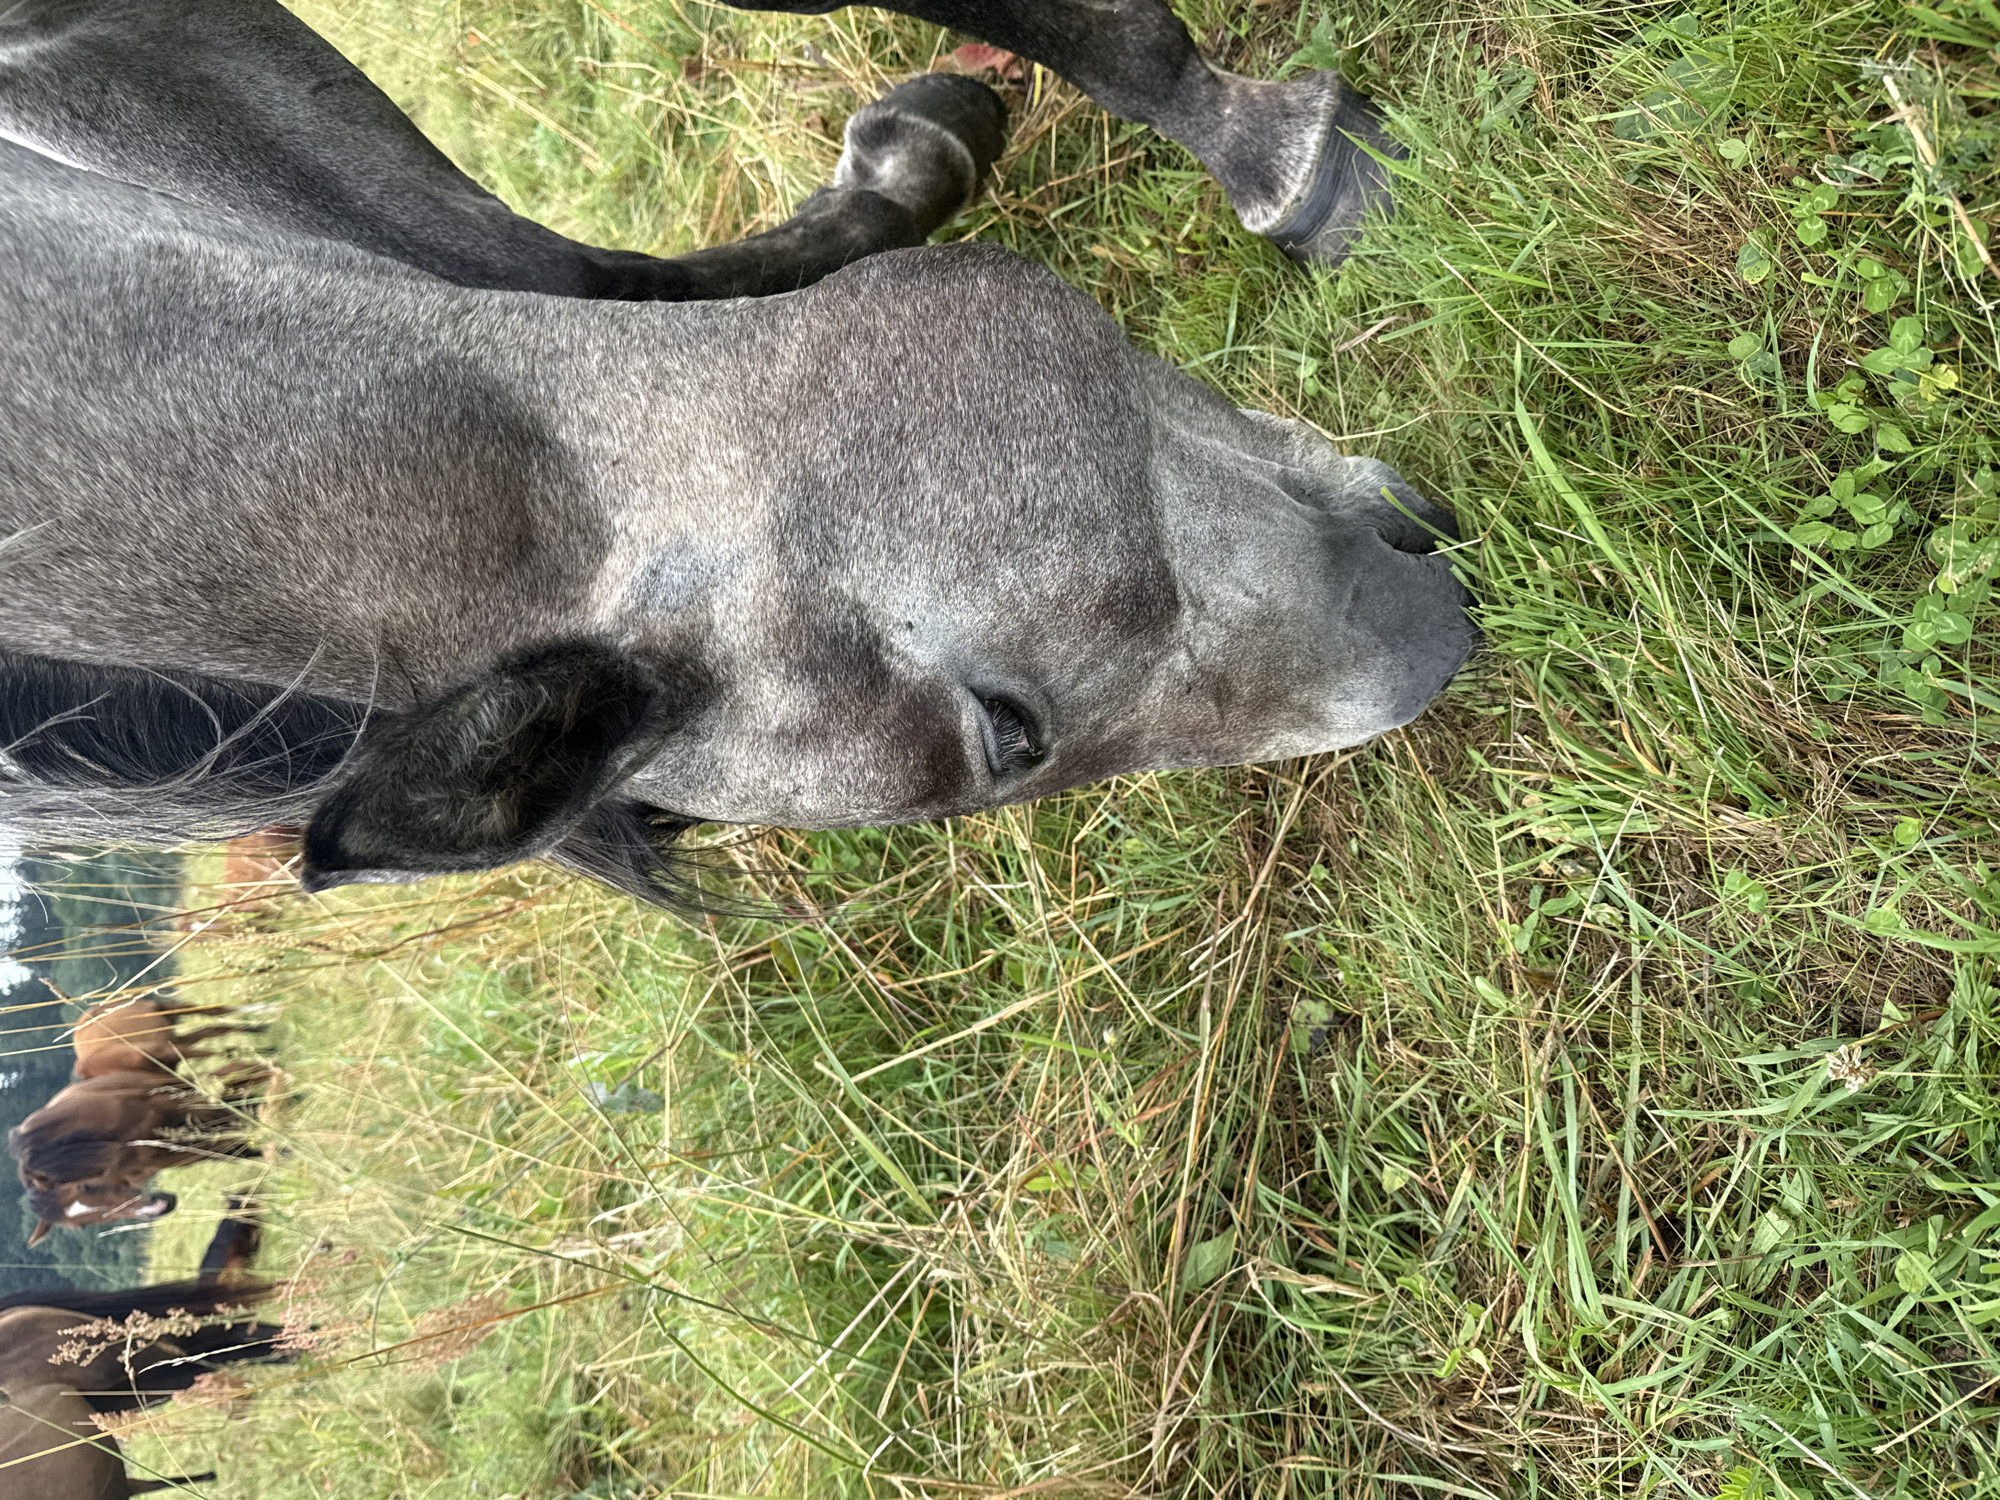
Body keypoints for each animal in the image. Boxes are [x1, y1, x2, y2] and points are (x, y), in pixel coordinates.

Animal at [8, 1070, 267, 1243]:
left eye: (89, 1186)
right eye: (82, 1224)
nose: (158, 1208)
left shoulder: (173, 1108)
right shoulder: (168, 1155)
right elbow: (231, 1149)